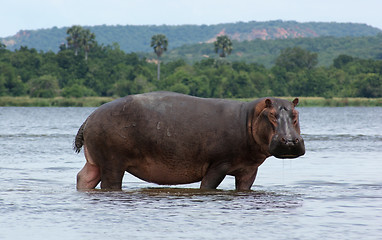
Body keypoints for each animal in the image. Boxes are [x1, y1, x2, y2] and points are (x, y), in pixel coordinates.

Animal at [74, 91, 306, 190]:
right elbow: (207, 186)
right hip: (113, 163)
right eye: (272, 115)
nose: (290, 141)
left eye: (295, 114)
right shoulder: (218, 165)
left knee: (84, 178)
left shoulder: (248, 170)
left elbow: (244, 187)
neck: (249, 117)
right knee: (110, 183)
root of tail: (89, 116)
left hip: (95, 162)